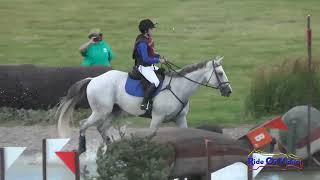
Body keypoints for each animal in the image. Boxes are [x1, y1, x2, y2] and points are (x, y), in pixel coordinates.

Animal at [57, 56, 232, 153]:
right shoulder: (157, 118)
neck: (179, 87)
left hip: (114, 111)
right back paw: (81, 149)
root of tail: (93, 79)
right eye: (220, 73)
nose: (228, 91)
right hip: (101, 111)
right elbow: (150, 135)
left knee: (102, 128)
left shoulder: (180, 118)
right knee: (83, 124)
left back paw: (112, 149)